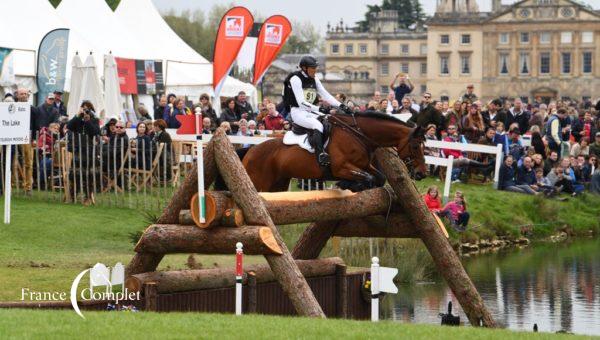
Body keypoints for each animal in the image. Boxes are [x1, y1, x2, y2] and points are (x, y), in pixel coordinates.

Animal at [240, 111, 426, 193]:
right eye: (416, 146)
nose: (422, 174)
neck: (358, 135)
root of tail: (251, 150)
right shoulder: (341, 168)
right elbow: (369, 178)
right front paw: (347, 184)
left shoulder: (365, 165)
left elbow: (379, 178)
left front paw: (349, 184)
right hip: (259, 183)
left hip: (278, 185)